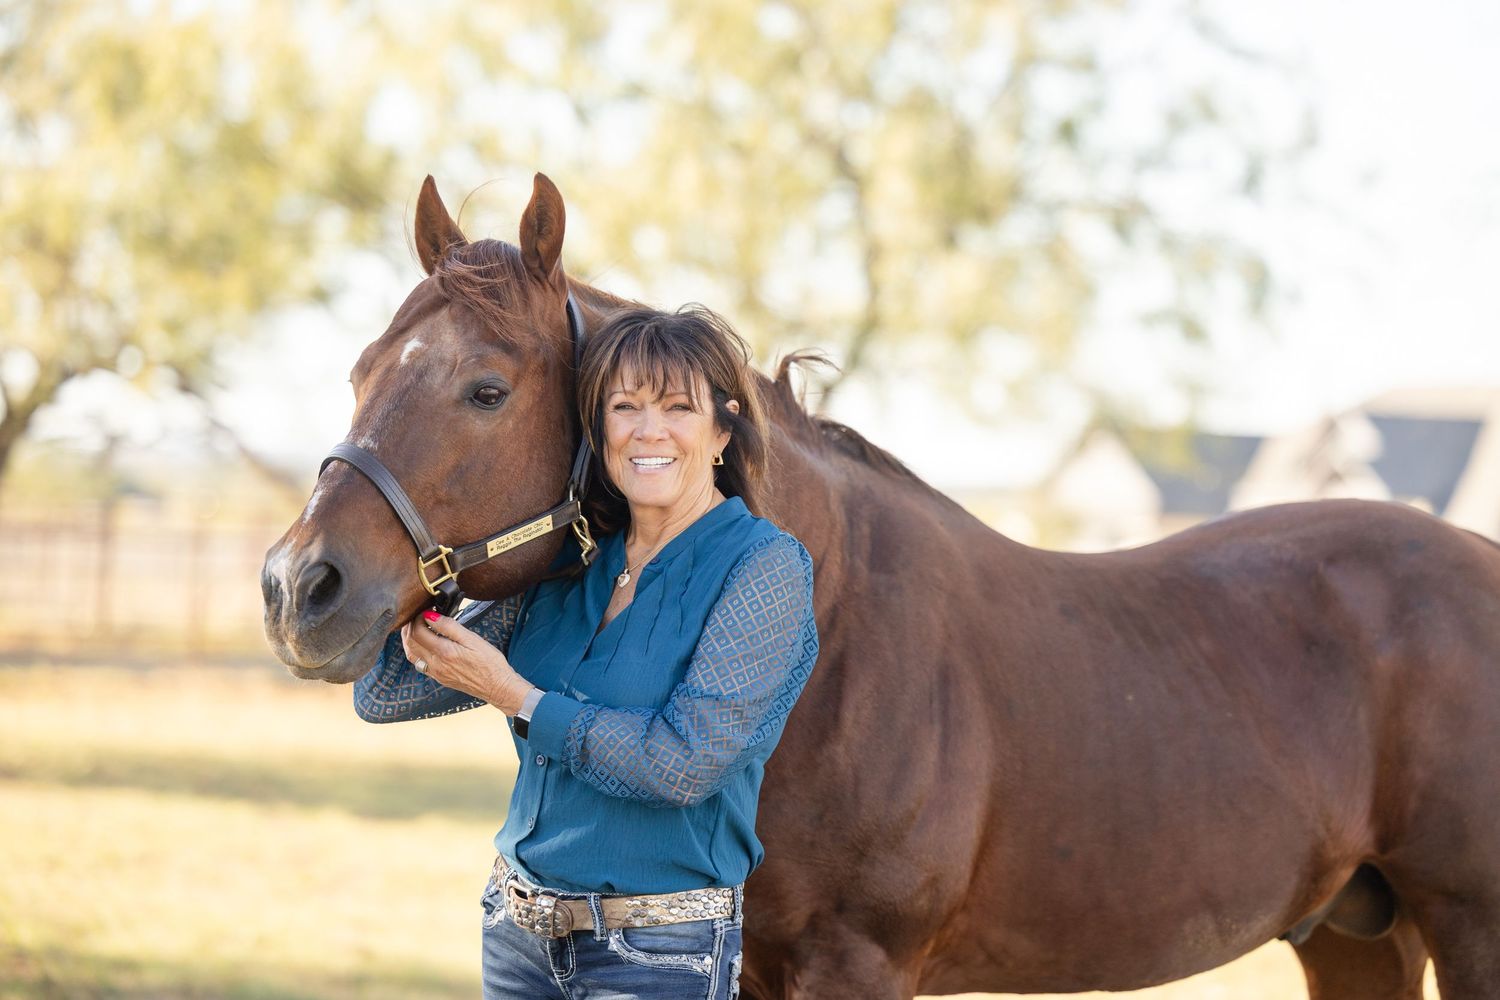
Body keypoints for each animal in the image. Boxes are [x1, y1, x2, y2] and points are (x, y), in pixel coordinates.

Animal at [262, 173, 1500, 999]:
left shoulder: (856, 966)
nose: (297, 585)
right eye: (360, 370)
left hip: (1466, 924)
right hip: (1353, 929)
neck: (835, 642)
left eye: (485, 388)